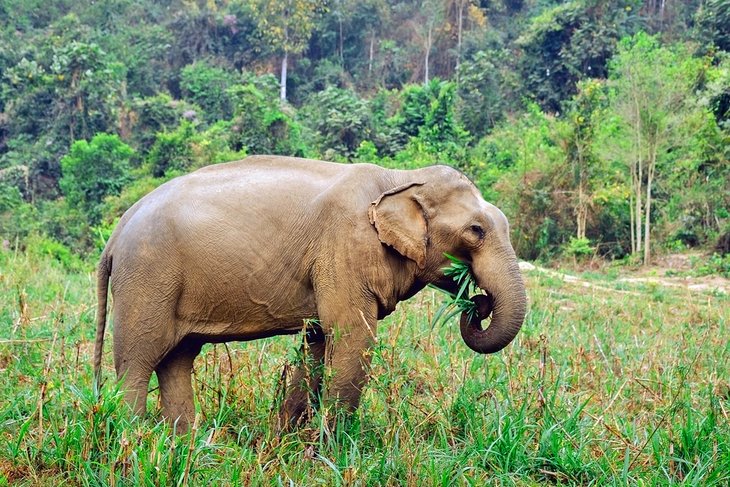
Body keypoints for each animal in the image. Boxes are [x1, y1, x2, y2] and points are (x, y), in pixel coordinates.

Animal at [92, 155, 524, 430]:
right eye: (476, 231)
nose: (477, 302)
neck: (398, 178)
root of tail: (117, 231)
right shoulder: (344, 249)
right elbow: (352, 338)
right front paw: (330, 449)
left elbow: (318, 342)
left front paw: (288, 442)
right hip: (147, 278)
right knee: (138, 360)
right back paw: (134, 438)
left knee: (177, 359)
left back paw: (182, 445)